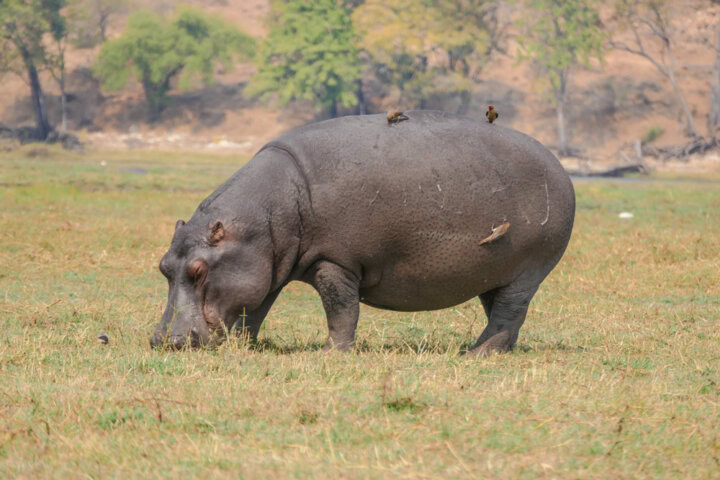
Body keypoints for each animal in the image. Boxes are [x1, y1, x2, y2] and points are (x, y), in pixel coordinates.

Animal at [150, 111, 575, 355]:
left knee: (509, 312)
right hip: (498, 269)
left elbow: (341, 309)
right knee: (502, 311)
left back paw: (476, 354)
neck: (263, 218)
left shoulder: (335, 261)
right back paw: (493, 350)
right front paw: (245, 347)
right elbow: (253, 309)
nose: (162, 340)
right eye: (163, 266)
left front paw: (329, 354)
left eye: (199, 271)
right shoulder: (266, 268)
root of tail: (560, 166)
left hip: (529, 270)